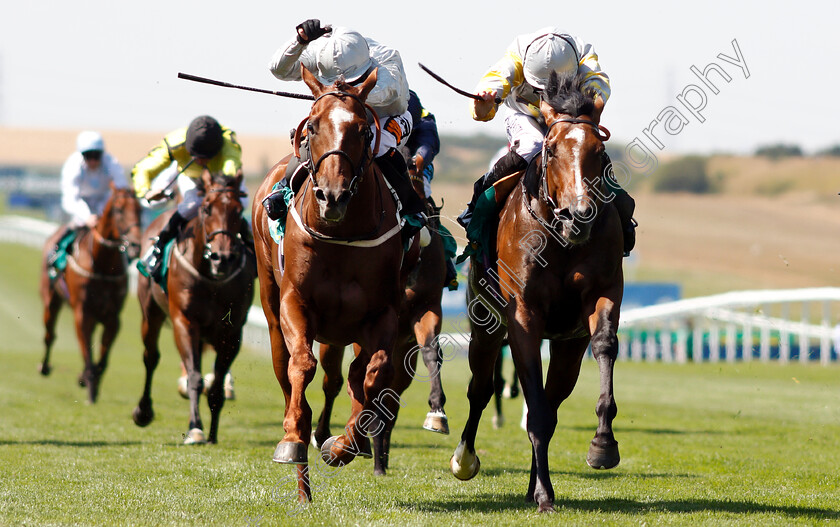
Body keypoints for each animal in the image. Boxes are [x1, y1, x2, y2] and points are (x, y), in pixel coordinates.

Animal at [39, 186, 143, 404]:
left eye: (140, 209)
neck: (103, 265)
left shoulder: (112, 317)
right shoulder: (83, 312)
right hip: (51, 300)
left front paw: (88, 379)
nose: (136, 245)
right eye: (119, 210)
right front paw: (90, 386)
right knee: (49, 334)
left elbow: (102, 357)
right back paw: (44, 366)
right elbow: (87, 349)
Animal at [131, 170, 254, 446]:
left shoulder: (232, 333)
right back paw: (143, 411)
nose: (223, 258)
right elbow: (195, 378)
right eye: (207, 208)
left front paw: (212, 434)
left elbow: (216, 386)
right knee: (150, 357)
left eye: (239, 210)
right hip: (150, 314)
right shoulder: (184, 322)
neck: (211, 278)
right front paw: (195, 428)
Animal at [254, 67, 416, 504]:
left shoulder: (383, 313)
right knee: (286, 371)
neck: (341, 236)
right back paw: (302, 480)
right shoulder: (295, 303)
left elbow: (373, 373)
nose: (332, 196)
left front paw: (344, 445)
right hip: (272, 308)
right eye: (312, 126)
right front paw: (293, 438)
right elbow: (301, 366)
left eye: (362, 129)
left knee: (351, 376)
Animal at [310, 157, 450, 478]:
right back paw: (330, 436)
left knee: (390, 400)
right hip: (333, 343)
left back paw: (378, 456)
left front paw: (437, 412)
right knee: (333, 382)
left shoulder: (426, 309)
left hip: (402, 358)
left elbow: (430, 351)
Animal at [452, 72, 624, 512]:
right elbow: (532, 410)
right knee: (480, 389)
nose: (580, 215)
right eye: (550, 149)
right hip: (485, 326)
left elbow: (605, 345)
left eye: (599, 150)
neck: (560, 238)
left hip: (566, 347)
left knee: (550, 398)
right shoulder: (523, 317)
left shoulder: (601, 296)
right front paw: (545, 494)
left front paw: (602, 445)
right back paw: (465, 458)